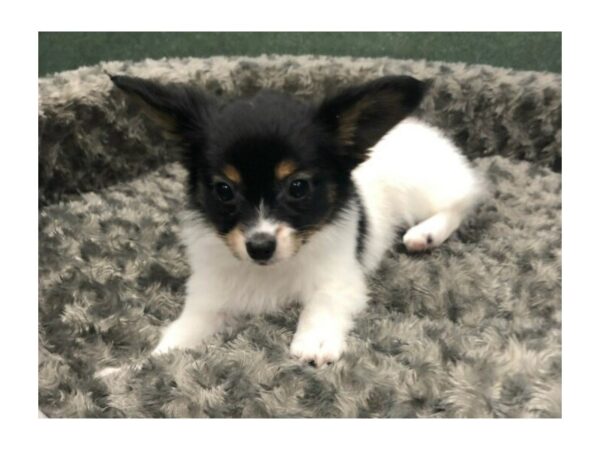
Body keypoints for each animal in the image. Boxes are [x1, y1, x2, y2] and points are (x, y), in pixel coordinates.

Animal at [110, 74, 486, 368]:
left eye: (298, 187)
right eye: (224, 190)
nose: (260, 247)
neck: (271, 272)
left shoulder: (341, 276)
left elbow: (323, 300)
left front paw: (314, 340)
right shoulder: (211, 292)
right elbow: (180, 333)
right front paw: (136, 367)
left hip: (427, 188)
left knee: (466, 198)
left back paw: (426, 233)